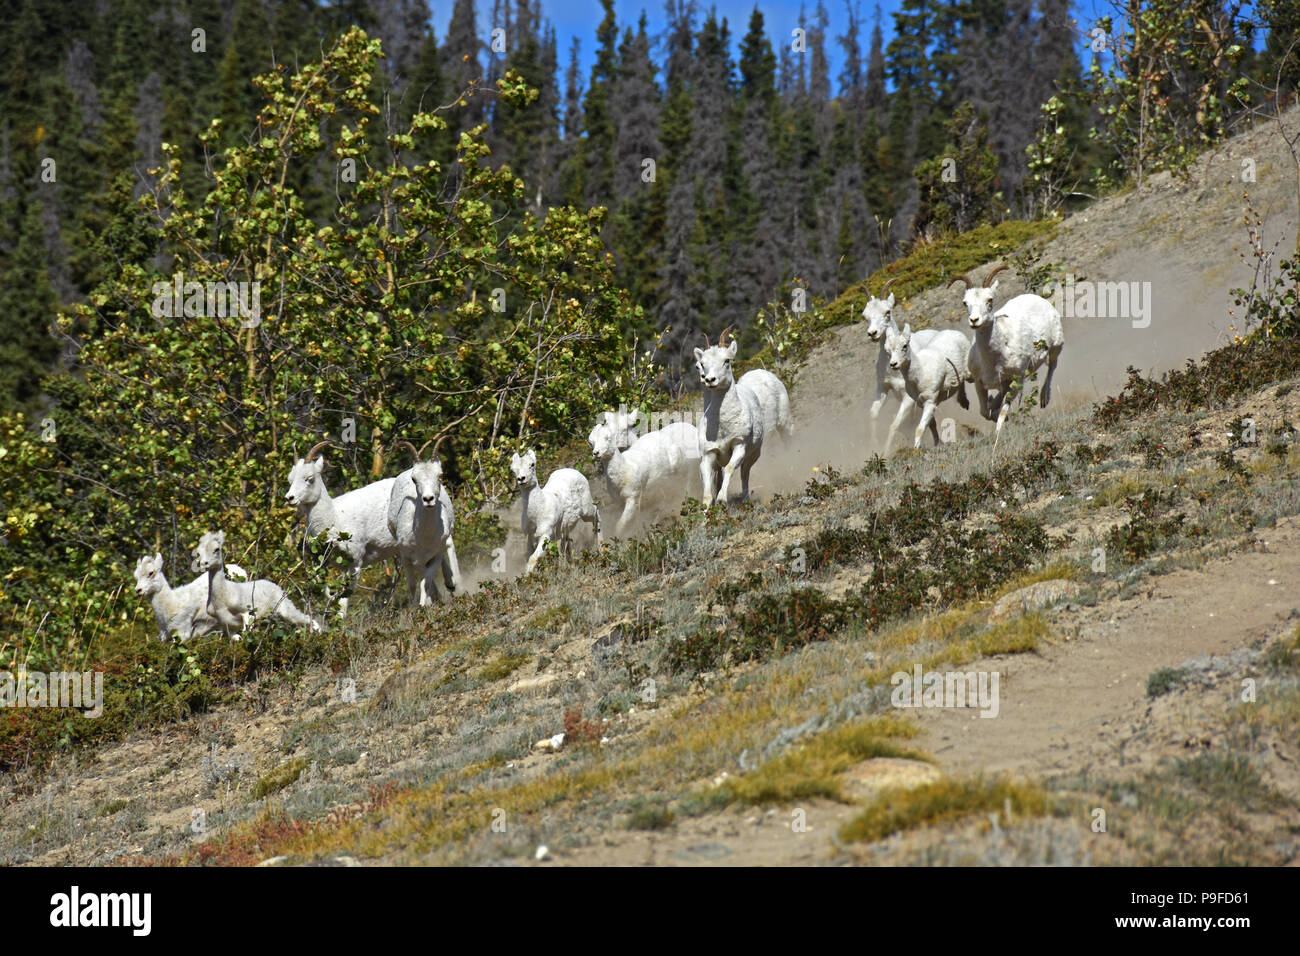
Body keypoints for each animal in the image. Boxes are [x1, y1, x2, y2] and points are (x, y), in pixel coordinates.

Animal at [189, 530, 322, 634]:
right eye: (199, 552)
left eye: (217, 549)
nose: (204, 564)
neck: (223, 596)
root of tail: (277, 587)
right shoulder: (226, 624)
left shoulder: (247, 613)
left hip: (285, 608)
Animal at [382, 434, 460, 606]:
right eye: (414, 479)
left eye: (440, 476)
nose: (428, 499)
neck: (424, 537)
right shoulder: (407, 558)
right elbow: (413, 583)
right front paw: (415, 607)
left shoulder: (436, 555)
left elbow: (426, 580)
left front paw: (425, 604)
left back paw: (451, 583)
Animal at [696, 329, 764, 509]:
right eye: (702, 363)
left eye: (727, 360)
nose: (709, 379)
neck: (722, 428)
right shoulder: (708, 455)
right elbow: (707, 491)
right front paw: (706, 511)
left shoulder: (739, 446)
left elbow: (730, 468)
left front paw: (721, 500)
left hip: (752, 456)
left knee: (744, 474)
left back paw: (745, 499)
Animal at [951, 265, 1060, 437]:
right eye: (965, 302)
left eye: (990, 299)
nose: (974, 320)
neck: (995, 358)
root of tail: (1040, 299)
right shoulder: (980, 383)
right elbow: (985, 412)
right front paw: (994, 412)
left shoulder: (1018, 380)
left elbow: (1003, 411)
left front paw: (1000, 429)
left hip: (1057, 345)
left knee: (1053, 365)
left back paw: (1044, 398)